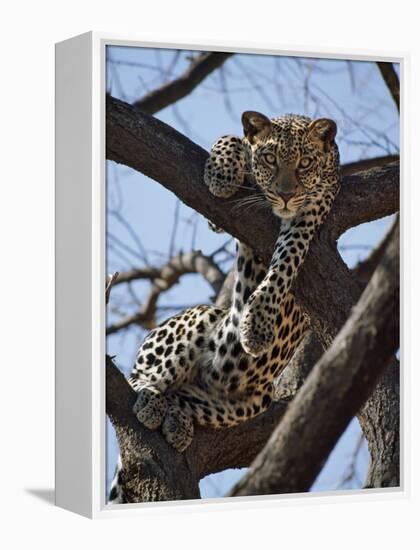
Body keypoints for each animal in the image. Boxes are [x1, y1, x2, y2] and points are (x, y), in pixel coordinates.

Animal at [107, 111, 338, 504]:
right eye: (270, 159)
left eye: (306, 163)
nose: (286, 195)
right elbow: (231, 138)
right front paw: (222, 173)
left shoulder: (311, 211)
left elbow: (285, 262)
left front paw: (257, 325)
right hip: (200, 318)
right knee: (141, 376)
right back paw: (151, 400)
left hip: (248, 401)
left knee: (183, 397)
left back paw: (175, 420)